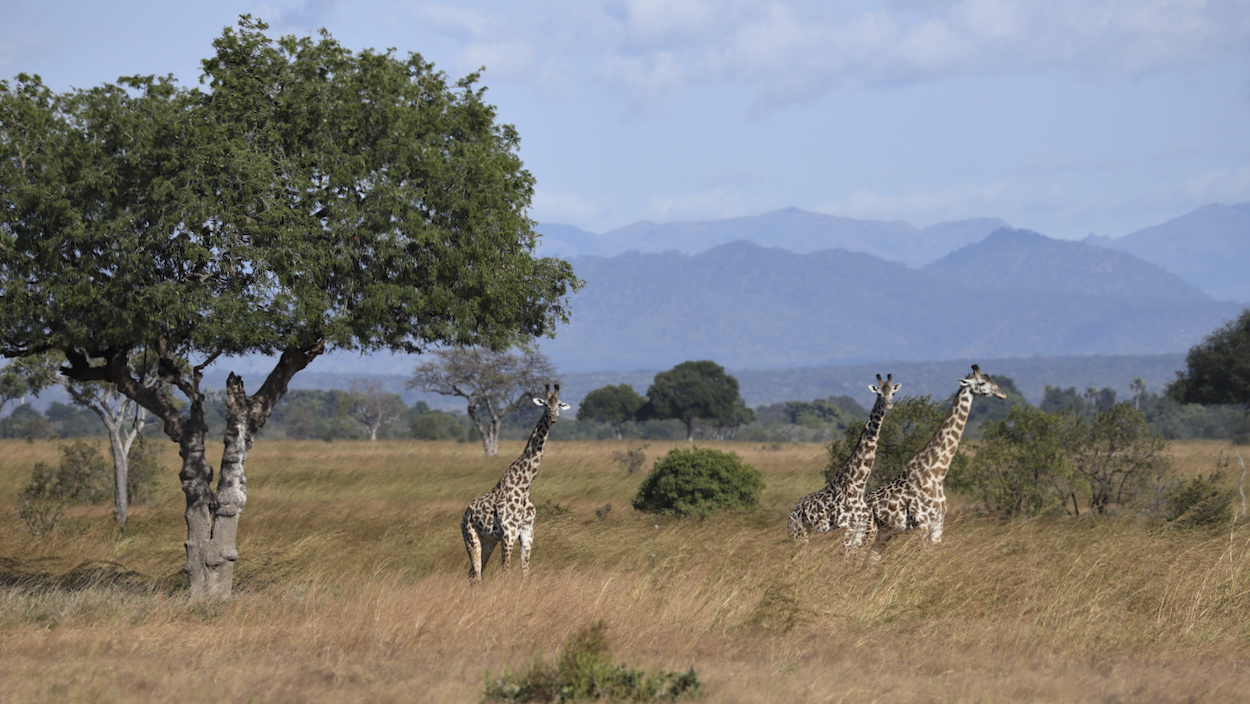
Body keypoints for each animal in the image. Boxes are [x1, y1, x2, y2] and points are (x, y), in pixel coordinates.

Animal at [465, 382, 572, 580]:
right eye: (546, 405)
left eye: (559, 405)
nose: (553, 418)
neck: (524, 487)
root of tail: (464, 515)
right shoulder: (508, 532)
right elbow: (506, 572)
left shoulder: (527, 531)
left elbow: (525, 572)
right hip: (471, 537)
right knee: (476, 574)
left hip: (488, 541)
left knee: (472, 574)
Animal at [785, 375, 905, 550]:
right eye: (879, 393)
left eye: (893, 393)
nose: (888, 405)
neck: (858, 484)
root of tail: (791, 514)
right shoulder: (845, 529)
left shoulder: (859, 531)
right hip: (799, 536)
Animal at [870, 367, 1005, 552]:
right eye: (982, 382)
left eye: (991, 379)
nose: (1002, 394)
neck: (936, 473)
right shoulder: (921, 523)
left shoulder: (938, 523)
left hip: (884, 533)